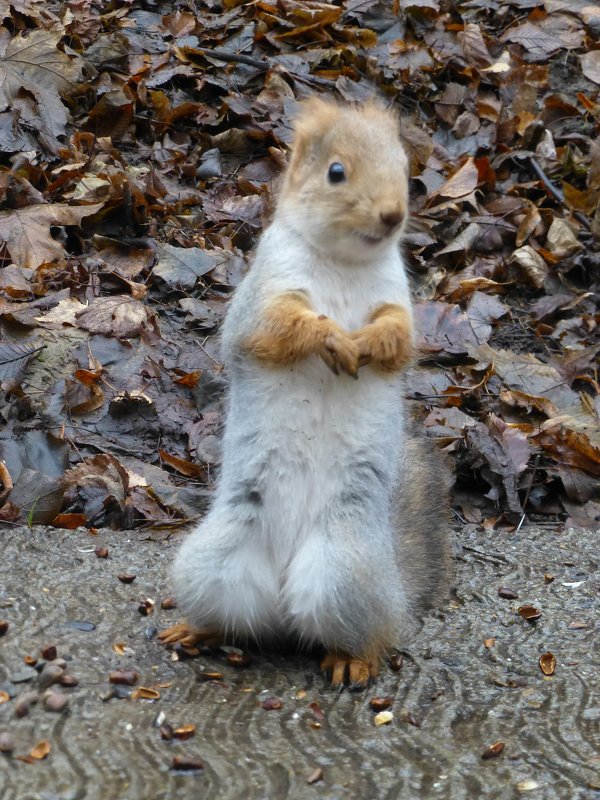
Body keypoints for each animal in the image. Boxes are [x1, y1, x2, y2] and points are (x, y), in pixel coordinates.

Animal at [159, 97, 450, 688]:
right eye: (335, 172)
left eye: (403, 166)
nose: (392, 215)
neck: (344, 262)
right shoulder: (266, 293)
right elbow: (279, 328)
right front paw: (331, 338)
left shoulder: (398, 303)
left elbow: (396, 339)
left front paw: (365, 343)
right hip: (214, 564)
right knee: (233, 618)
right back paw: (195, 631)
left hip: (343, 575)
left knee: (363, 634)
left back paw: (352, 659)